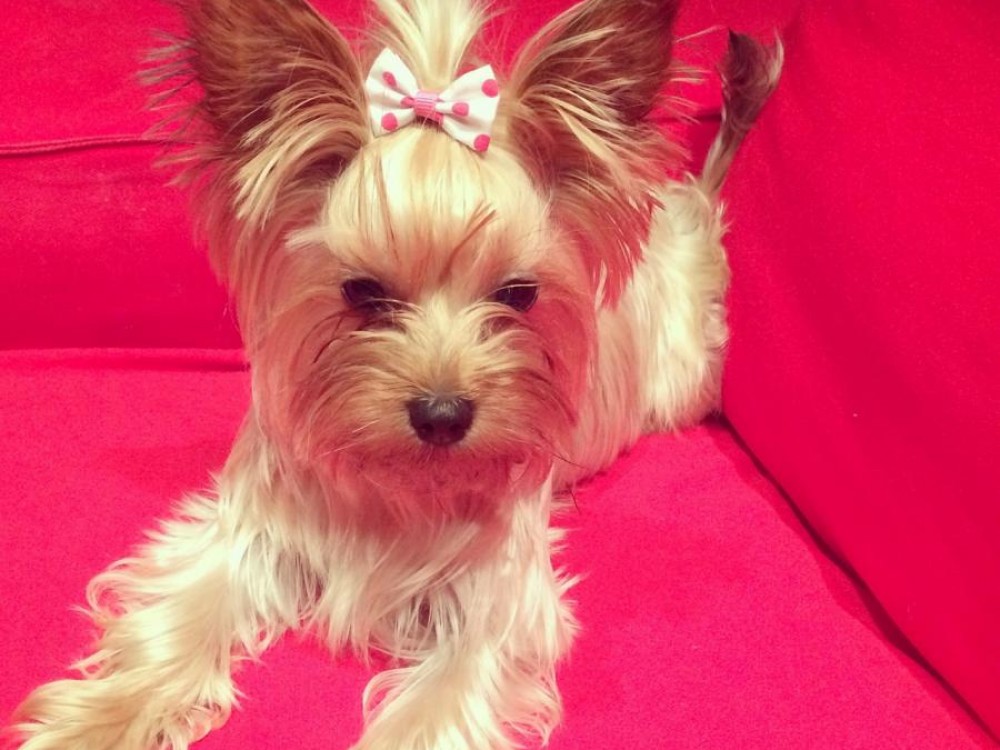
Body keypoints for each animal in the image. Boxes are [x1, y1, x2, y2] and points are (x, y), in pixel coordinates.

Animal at [10, 1, 781, 748]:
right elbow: (178, 623)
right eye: (361, 291)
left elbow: (435, 708)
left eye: (518, 294)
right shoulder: (246, 534)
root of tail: (685, 211)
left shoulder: (495, 612)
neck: (398, 481)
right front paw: (98, 721)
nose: (443, 415)